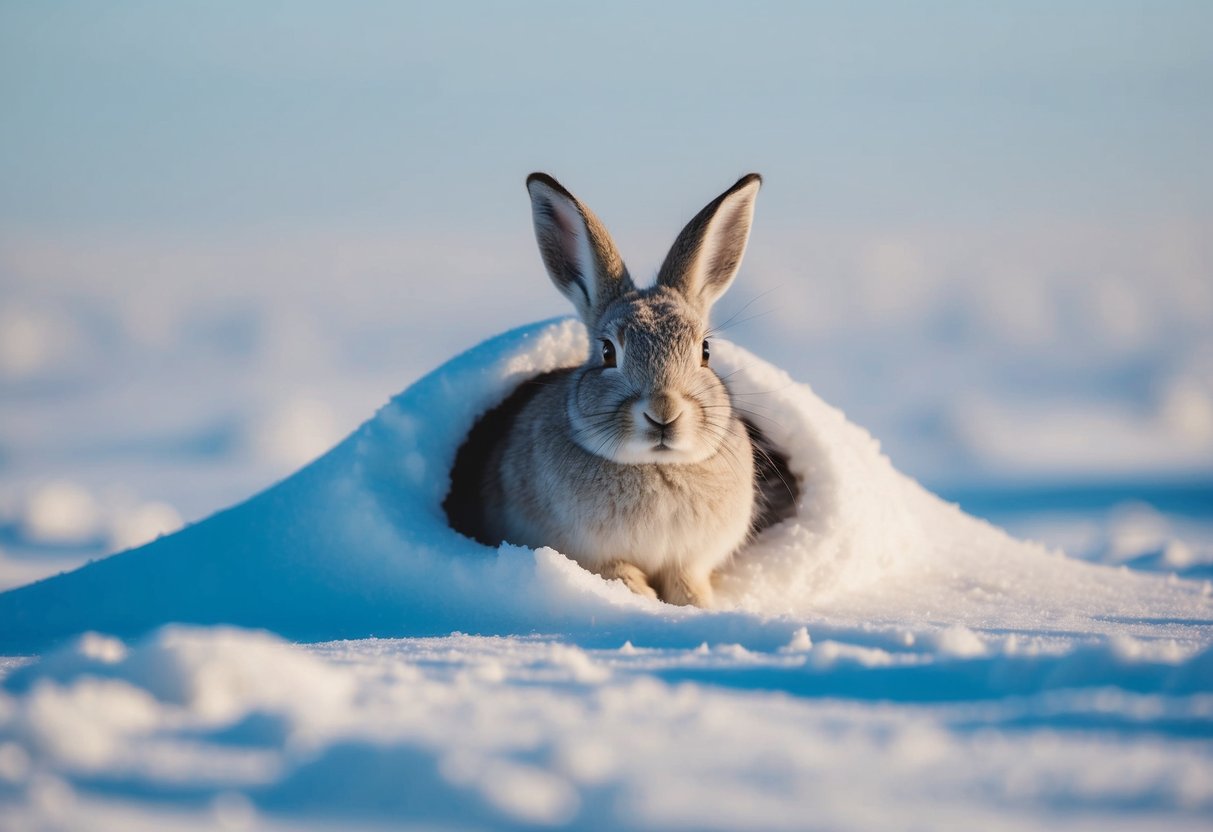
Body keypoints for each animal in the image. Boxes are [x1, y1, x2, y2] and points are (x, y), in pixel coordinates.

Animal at [478, 172, 762, 608]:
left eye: (705, 351)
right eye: (608, 352)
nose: (663, 412)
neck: (656, 466)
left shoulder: (689, 560)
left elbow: (686, 579)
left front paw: (696, 604)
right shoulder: (594, 554)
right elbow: (620, 572)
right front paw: (641, 597)